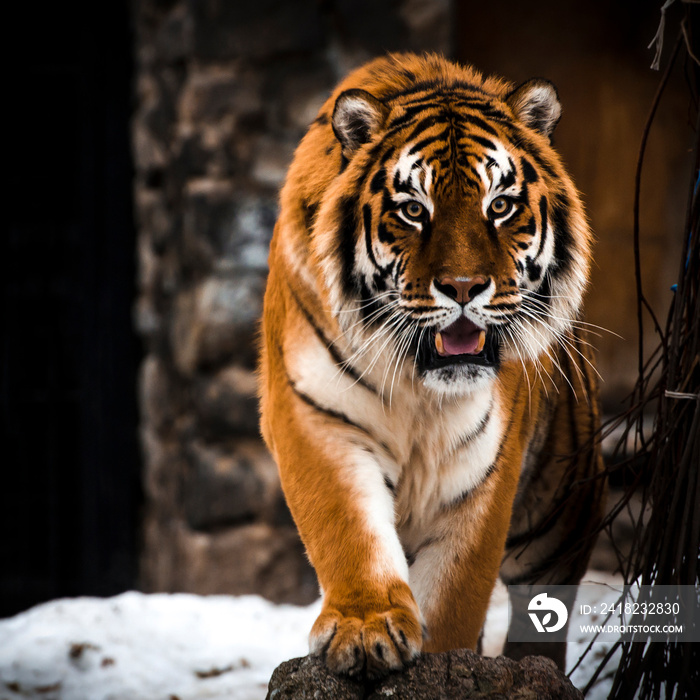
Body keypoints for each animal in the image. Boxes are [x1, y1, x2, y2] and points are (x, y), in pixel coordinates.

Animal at [260, 52, 604, 676]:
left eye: (500, 206)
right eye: (414, 211)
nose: (464, 287)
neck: (419, 386)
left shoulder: (486, 466)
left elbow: (453, 593)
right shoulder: (315, 418)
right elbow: (347, 528)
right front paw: (365, 631)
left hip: (563, 513)